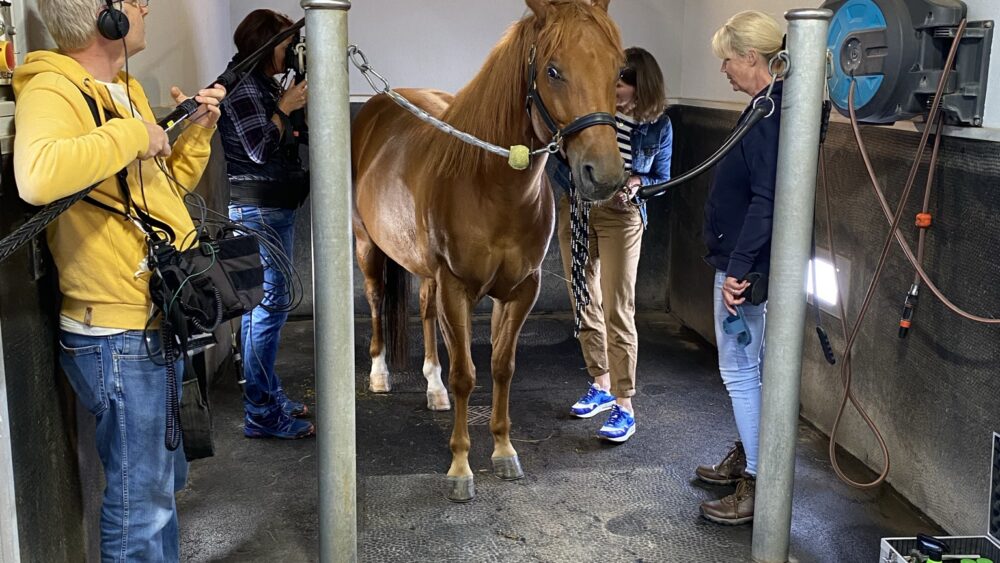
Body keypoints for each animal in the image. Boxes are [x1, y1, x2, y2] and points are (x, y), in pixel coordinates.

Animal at [351, 0, 625, 502]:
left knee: (424, 310)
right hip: (368, 245)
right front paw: (461, 468)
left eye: (618, 70)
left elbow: (502, 367)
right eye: (552, 70)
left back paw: (432, 387)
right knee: (377, 299)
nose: (605, 175)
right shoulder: (457, 287)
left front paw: (503, 451)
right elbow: (466, 373)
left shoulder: (520, 290)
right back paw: (380, 374)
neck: (491, 185)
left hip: (428, 271)